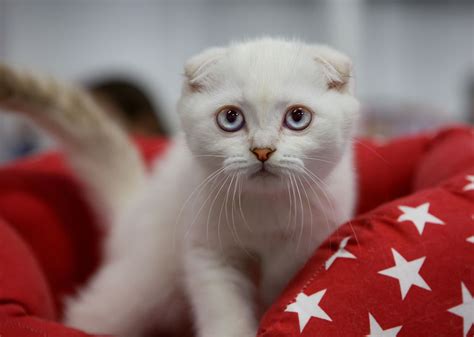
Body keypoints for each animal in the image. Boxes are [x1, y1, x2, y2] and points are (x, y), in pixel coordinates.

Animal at [0, 37, 358, 336]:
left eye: (297, 117)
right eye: (231, 118)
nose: (262, 150)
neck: (266, 211)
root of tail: (134, 210)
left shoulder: (305, 248)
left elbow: (285, 290)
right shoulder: (208, 252)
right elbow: (223, 311)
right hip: (141, 286)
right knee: (90, 314)